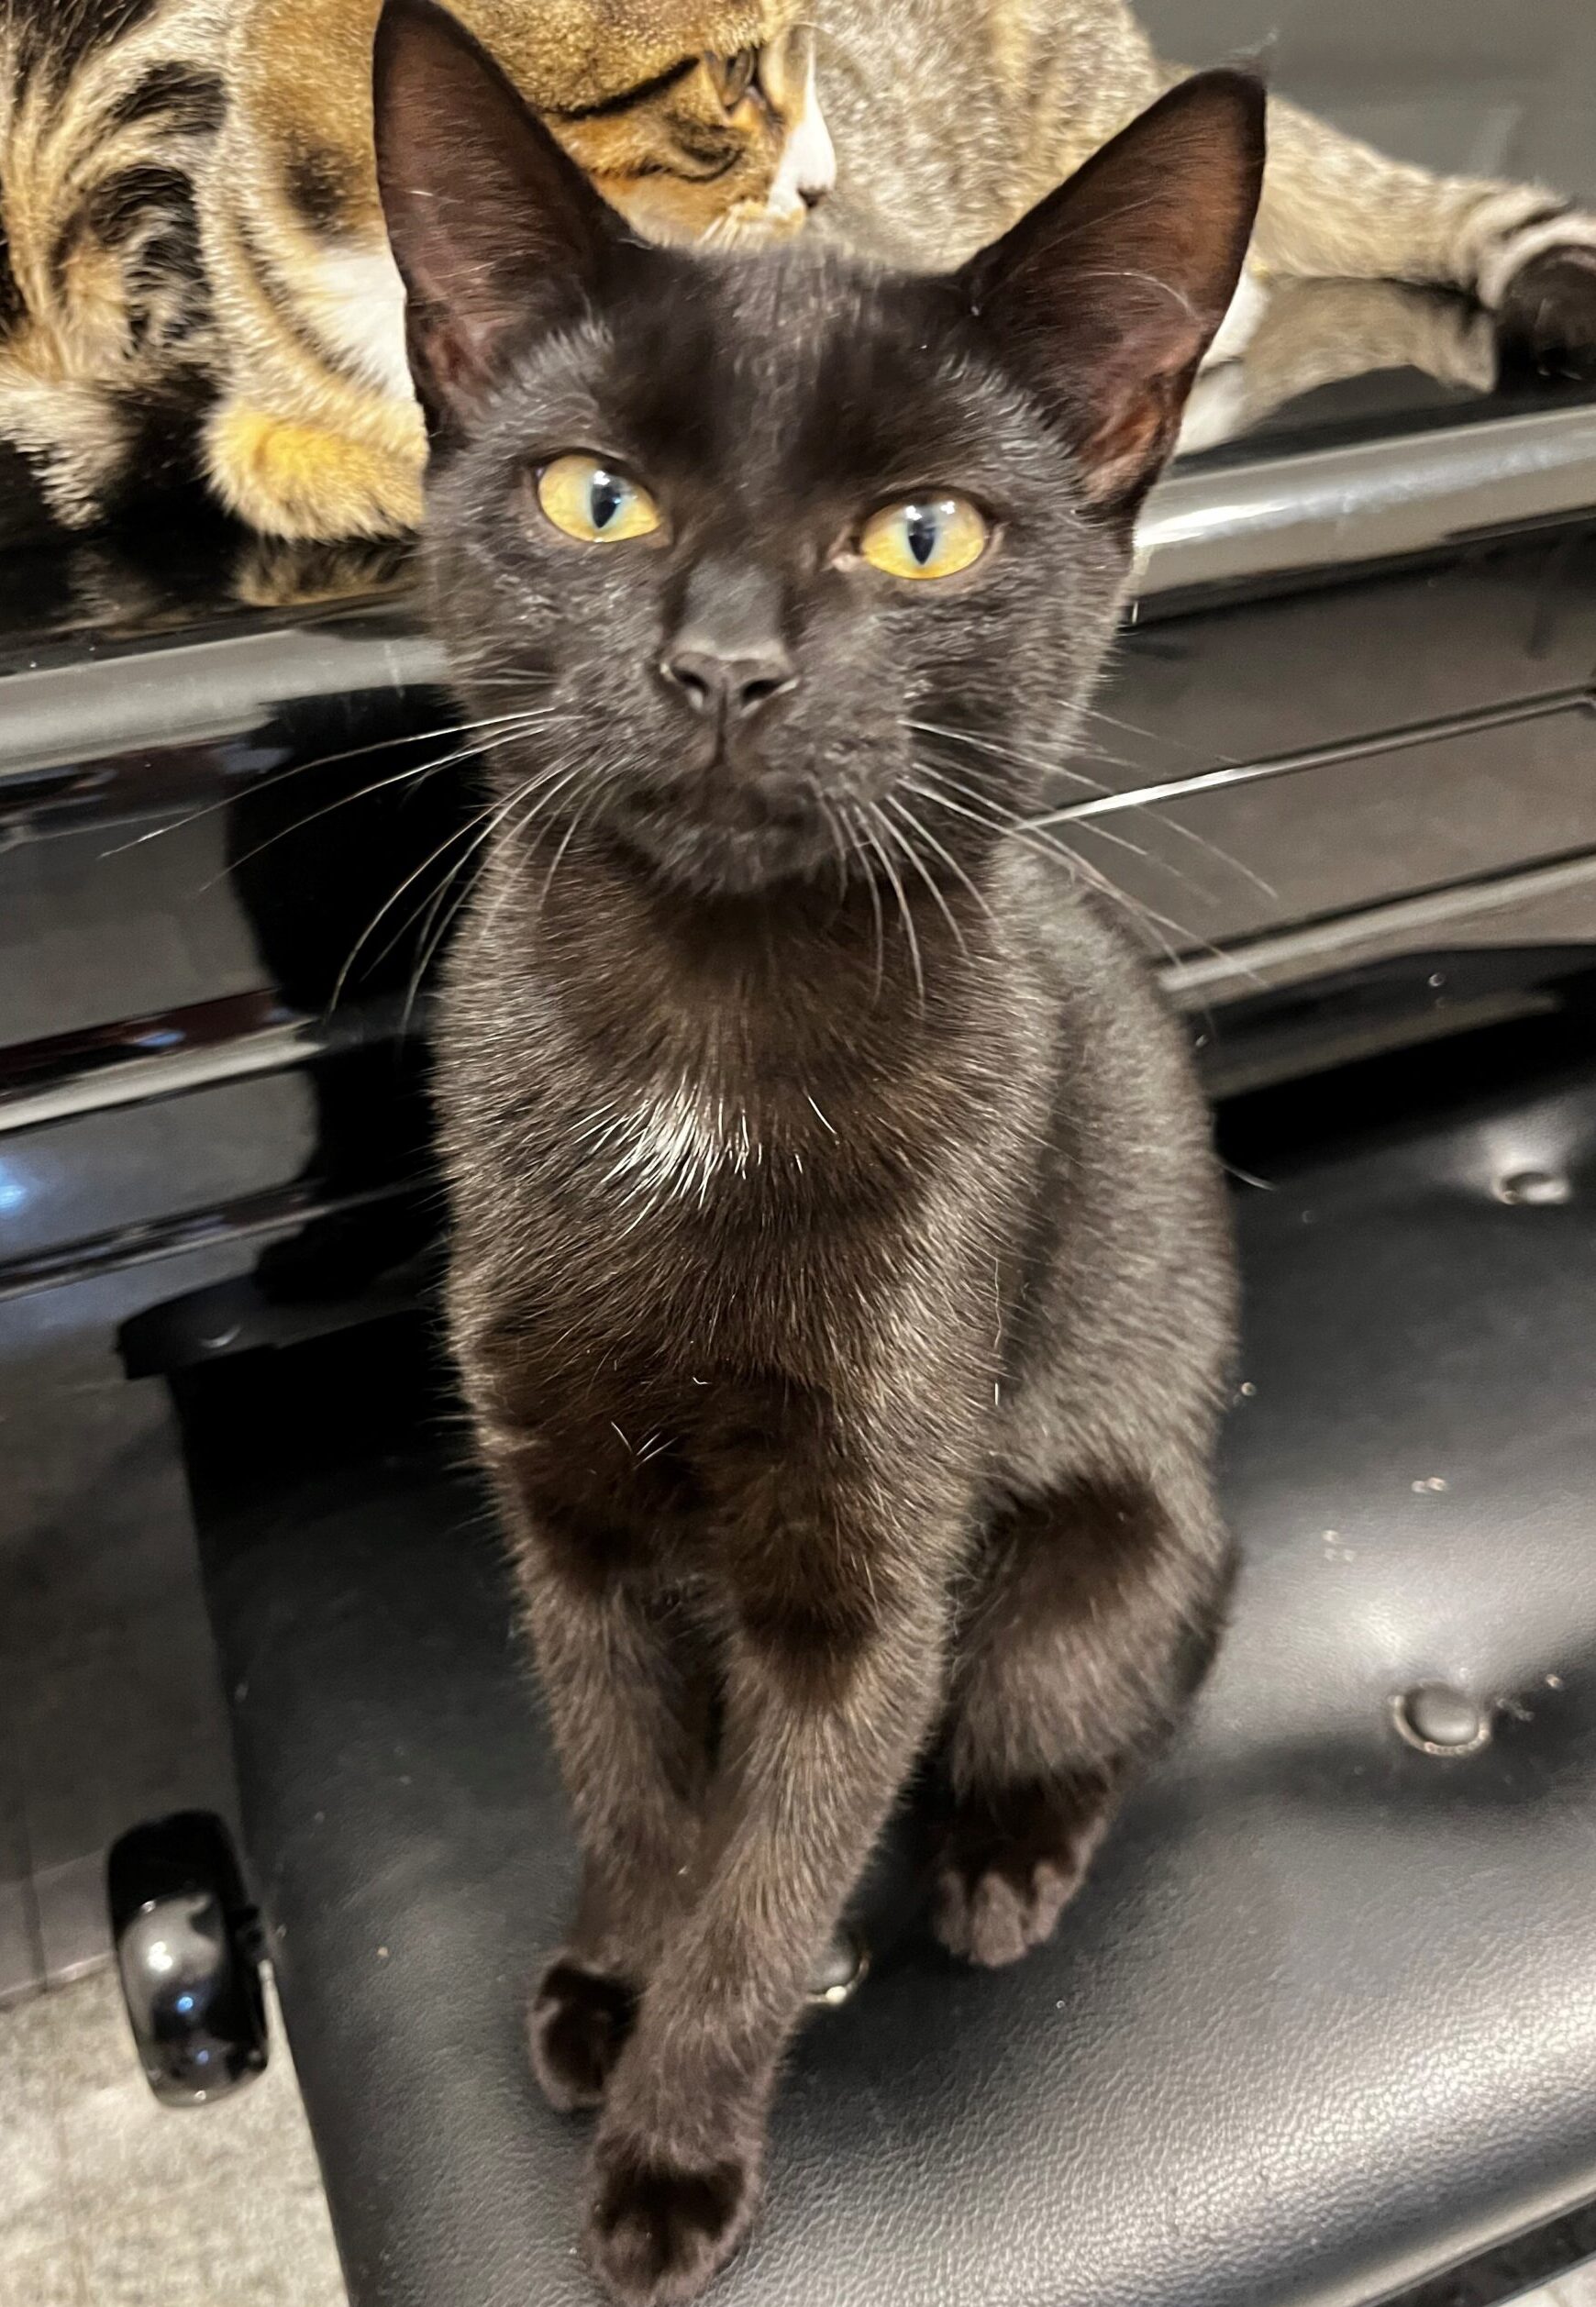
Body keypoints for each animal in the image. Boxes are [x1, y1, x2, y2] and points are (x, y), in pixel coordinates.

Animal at [371, 0, 1259, 2298]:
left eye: (918, 536)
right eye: (595, 497)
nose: (722, 665)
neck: (699, 1052)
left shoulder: (874, 1579)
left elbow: (772, 1886)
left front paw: (674, 2154)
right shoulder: (563, 1511)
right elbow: (635, 1792)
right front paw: (609, 1976)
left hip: (1083, 1565)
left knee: (1127, 1684)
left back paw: (1005, 1870)